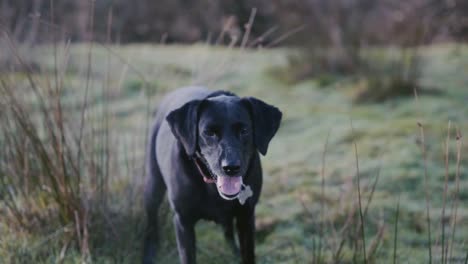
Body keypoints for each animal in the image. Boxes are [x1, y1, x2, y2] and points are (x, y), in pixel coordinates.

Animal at [143, 87, 282, 264]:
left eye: (244, 131)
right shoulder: (183, 222)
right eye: (209, 132)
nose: (231, 167)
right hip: (152, 187)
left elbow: (247, 254)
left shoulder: (246, 216)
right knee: (151, 225)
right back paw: (149, 254)